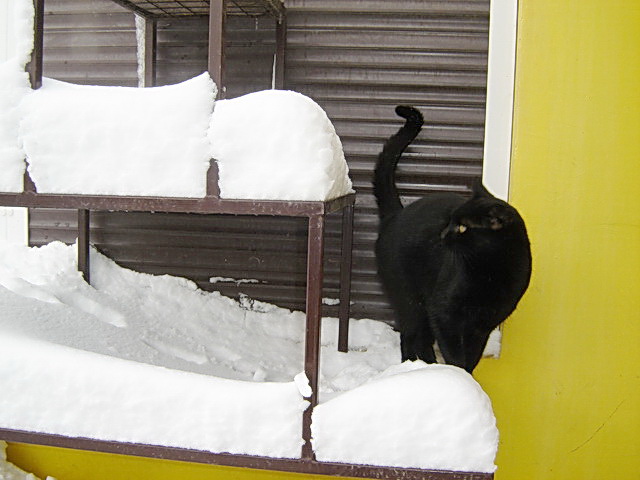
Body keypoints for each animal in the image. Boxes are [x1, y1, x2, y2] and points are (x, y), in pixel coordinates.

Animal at [373, 105, 532, 373]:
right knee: (410, 334)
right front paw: (456, 376)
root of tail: (396, 213)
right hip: (411, 300)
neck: (489, 272)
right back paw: (414, 367)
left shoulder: (483, 325)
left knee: (419, 337)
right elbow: (454, 352)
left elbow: (473, 356)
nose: (443, 234)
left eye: (462, 227)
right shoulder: (443, 312)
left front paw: (466, 378)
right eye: (450, 221)